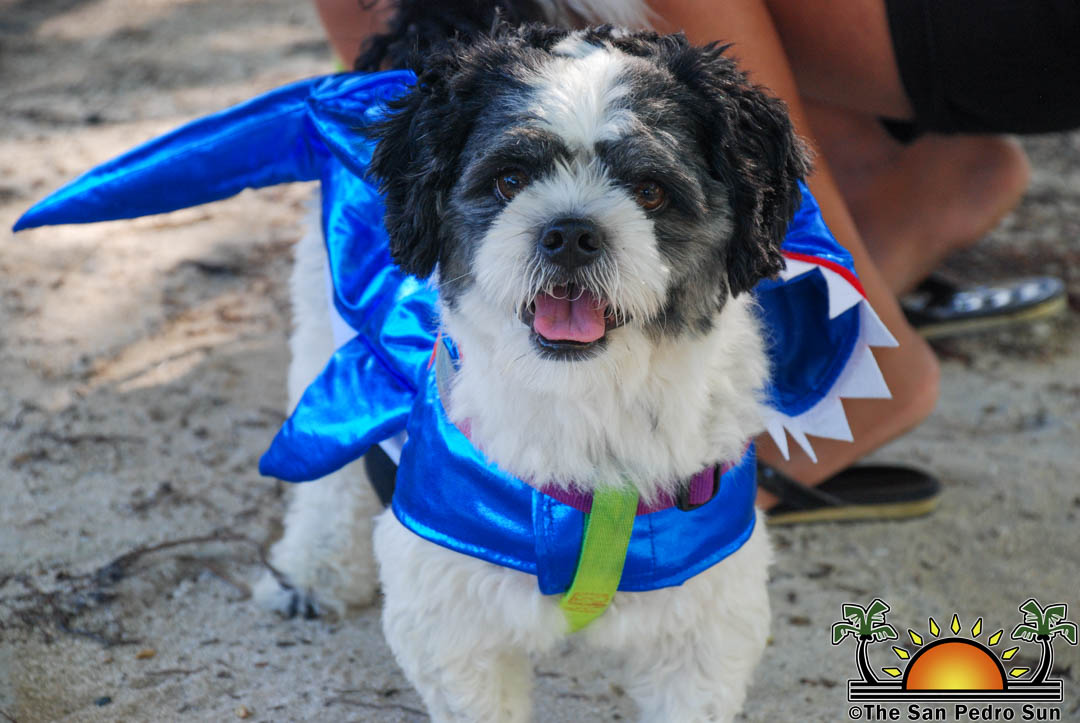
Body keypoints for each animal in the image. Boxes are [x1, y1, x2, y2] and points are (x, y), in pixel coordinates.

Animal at [254, 17, 811, 723]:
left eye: (651, 191)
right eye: (509, 180)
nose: (570, 232)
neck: (586, 406)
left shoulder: (705, 621)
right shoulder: (451, 615)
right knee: (328, 477)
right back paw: (309, 571)